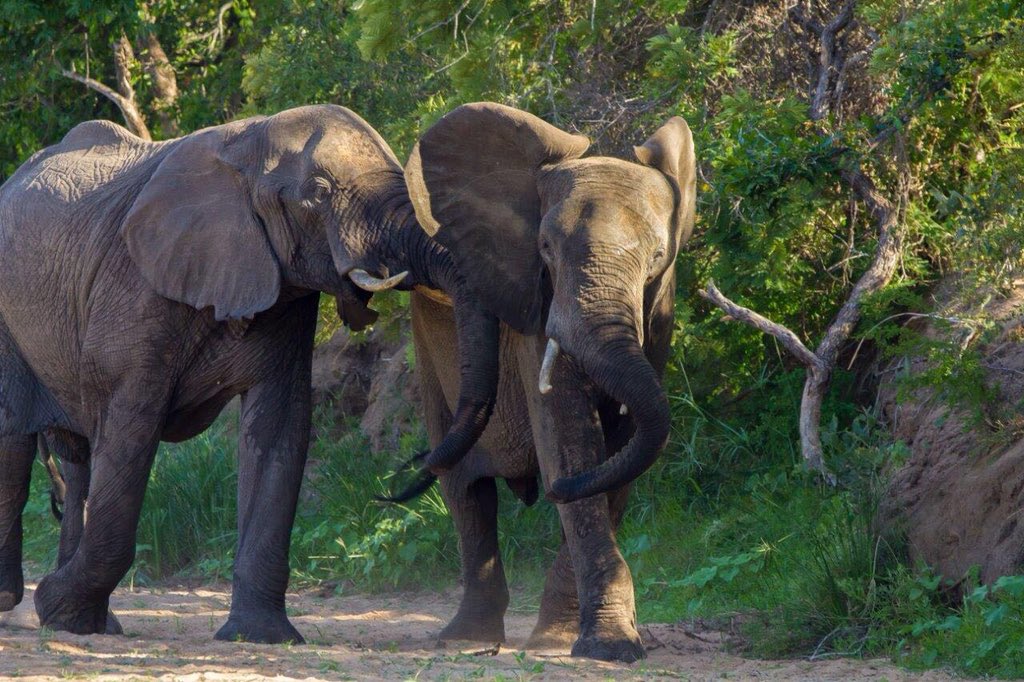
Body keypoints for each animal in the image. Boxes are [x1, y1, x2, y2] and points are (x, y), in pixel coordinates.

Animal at [0, 104, 502, 642]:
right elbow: (131, 429)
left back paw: (96, 626)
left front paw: (260, 635)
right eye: (318, 193)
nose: (398, 481)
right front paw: (57, 606)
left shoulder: (284, 292)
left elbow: (279, 427)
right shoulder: (135, 289)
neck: (246, 145)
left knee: (77, 461)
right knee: (15, 443)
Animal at [387, 103, 695, 662]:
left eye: (657, 258)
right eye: (545, 249)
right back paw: (465, 639)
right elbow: (569, 441)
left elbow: (623, 451)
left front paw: (569, 641)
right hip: (429, 347)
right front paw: (609, 647)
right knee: (465, 490)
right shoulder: (536, 315)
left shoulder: (661, 315)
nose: (554, 493)